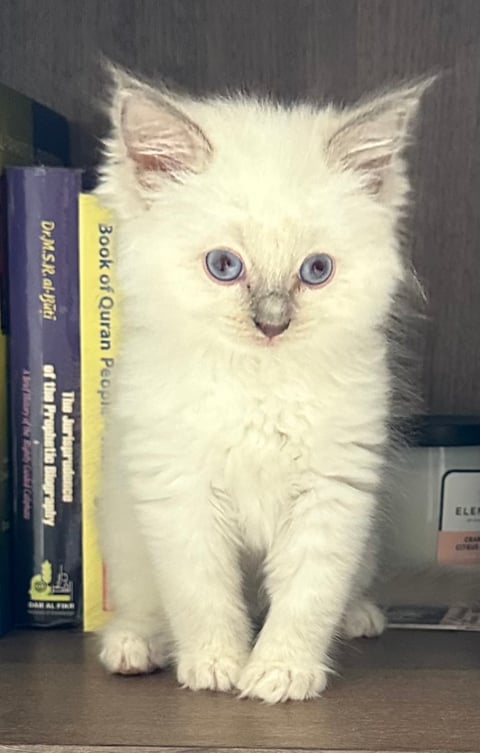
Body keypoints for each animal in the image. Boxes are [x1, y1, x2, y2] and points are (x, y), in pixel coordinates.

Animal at [95, 67, 430, 704]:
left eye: (316, 271)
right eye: (224, 266)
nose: (272, 324)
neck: (258, 388)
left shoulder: (331, 494)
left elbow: (306, 598)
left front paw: (281, 672)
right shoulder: (182, 497)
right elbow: (202, 597)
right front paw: (216, 666)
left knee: (343, 593)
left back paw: (361, 617)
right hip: (126, 530)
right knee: (146, 605)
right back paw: (133, 646)